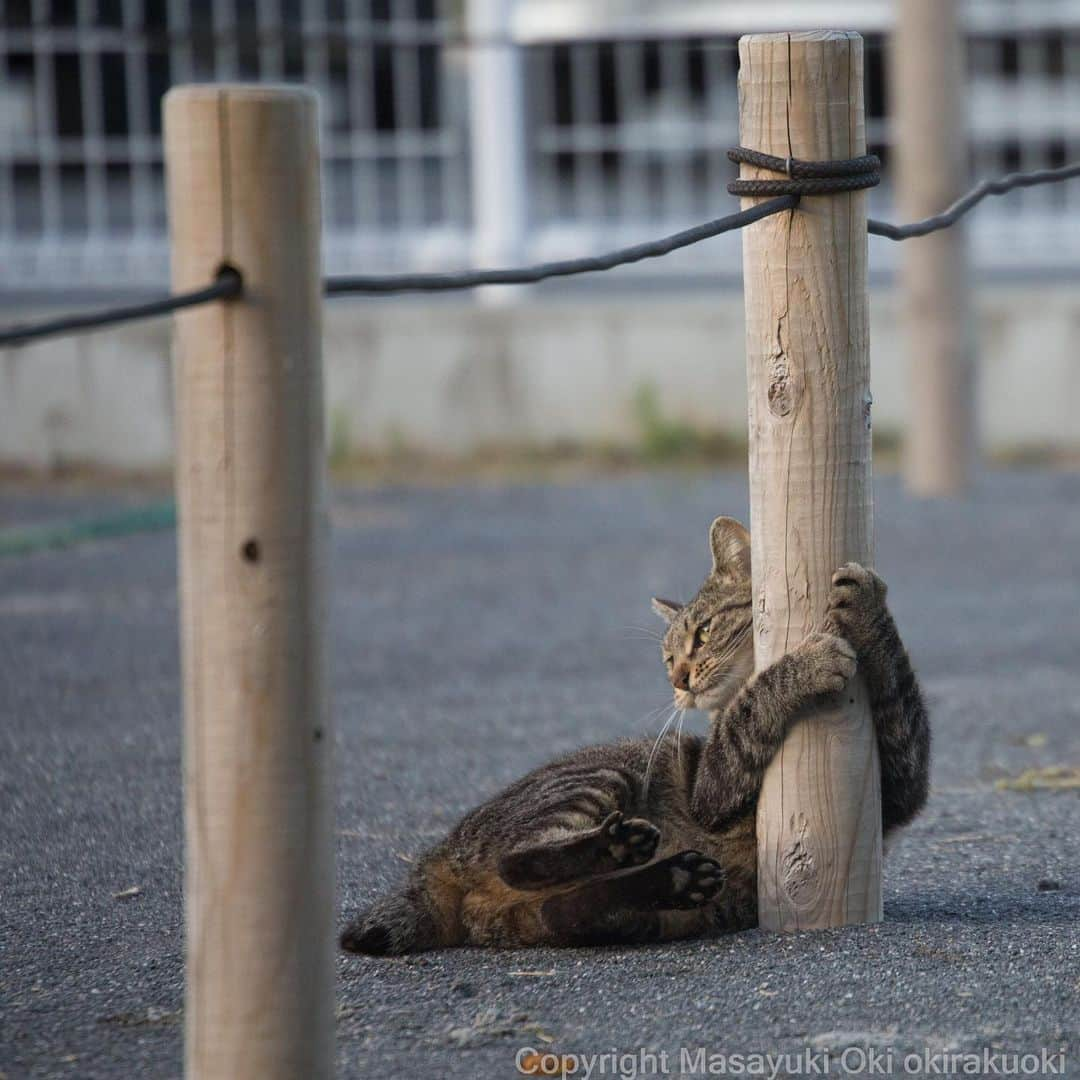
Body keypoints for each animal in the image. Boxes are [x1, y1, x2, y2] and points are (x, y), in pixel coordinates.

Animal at [339, 516, 928, 954]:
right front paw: (809, 661)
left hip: (608, 913)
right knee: (520, 860)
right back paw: (623, 846)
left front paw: (869, 607)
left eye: (703, 632)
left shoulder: (898, 787)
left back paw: (671, 877)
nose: (678, 680)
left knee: (567, 906)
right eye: (667, 657)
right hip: (600, 777)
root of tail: (430, 863)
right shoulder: (713, 787)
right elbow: (757, 700)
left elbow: (899, 692)